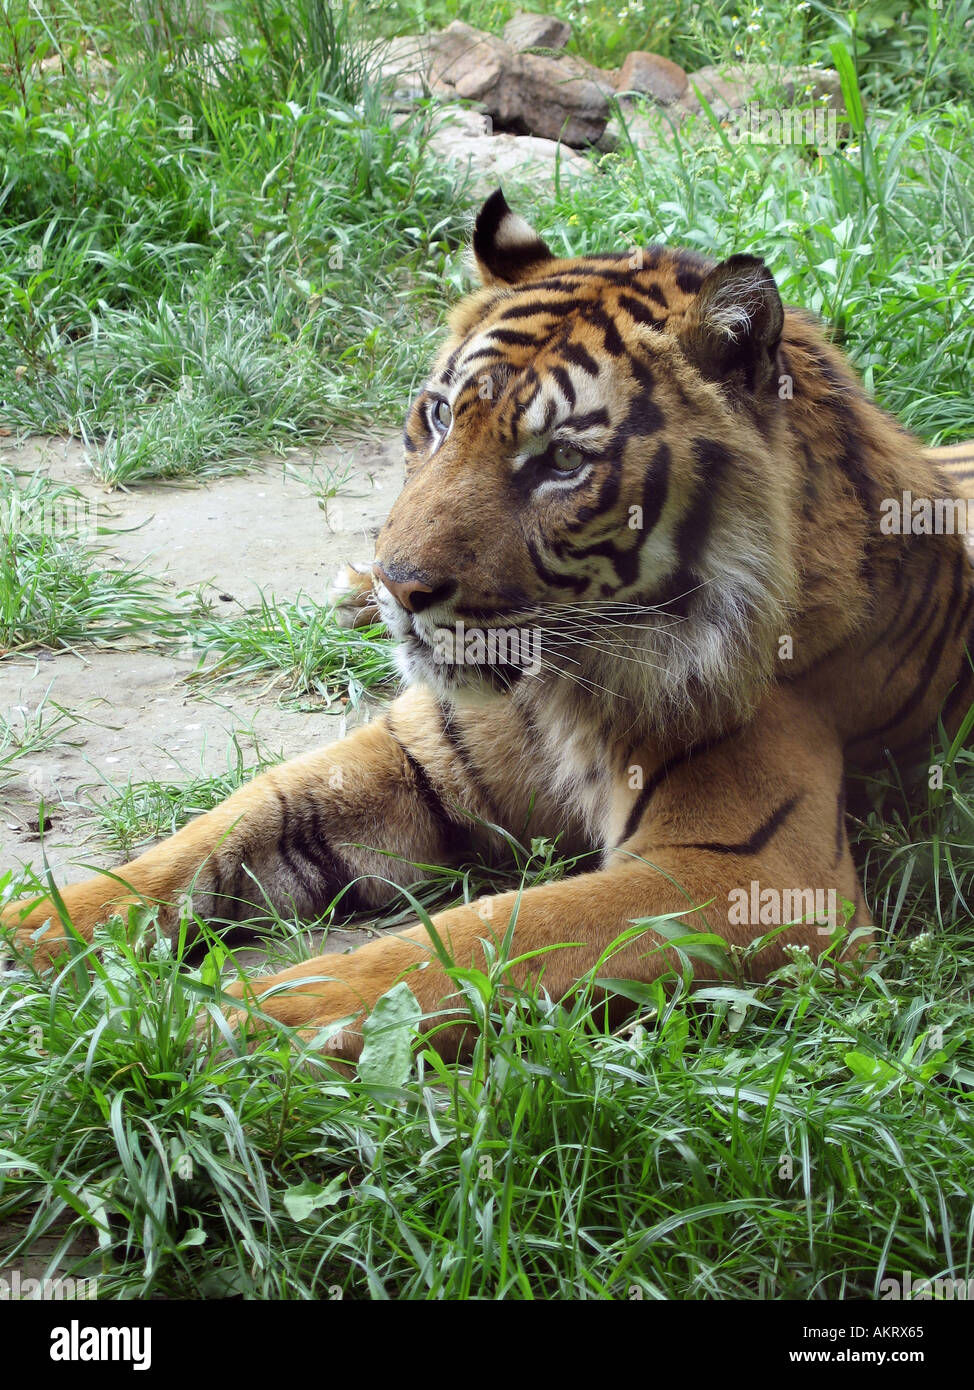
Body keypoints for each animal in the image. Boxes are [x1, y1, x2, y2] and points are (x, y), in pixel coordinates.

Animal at [4, 188, 974, 1065]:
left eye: (563, 461)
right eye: (438, 416)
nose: (400, 585)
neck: (558, 687)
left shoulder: (751, 875)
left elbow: (469, 940)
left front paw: (224, 1022)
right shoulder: (411, 760)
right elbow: (199, 843)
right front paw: (31, 939)